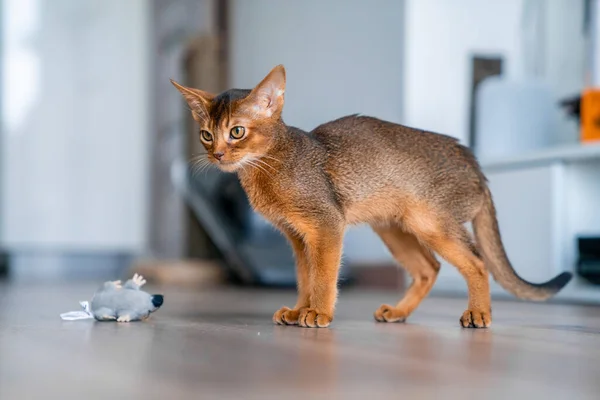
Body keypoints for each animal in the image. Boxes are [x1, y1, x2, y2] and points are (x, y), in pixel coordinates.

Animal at [172, 65, 572, 328]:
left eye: (237, 132)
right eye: (206, 134)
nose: (217, 154)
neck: (272, 163)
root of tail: (475, 164)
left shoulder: (326, 225)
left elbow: (324, 276)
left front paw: (318, 313)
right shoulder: (298, 237)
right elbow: (305, 277)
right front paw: (299, 309)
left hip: (431, 223)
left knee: (477, 262)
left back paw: (478, 313)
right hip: (395, 228)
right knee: (429, 268)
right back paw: (399, 313)